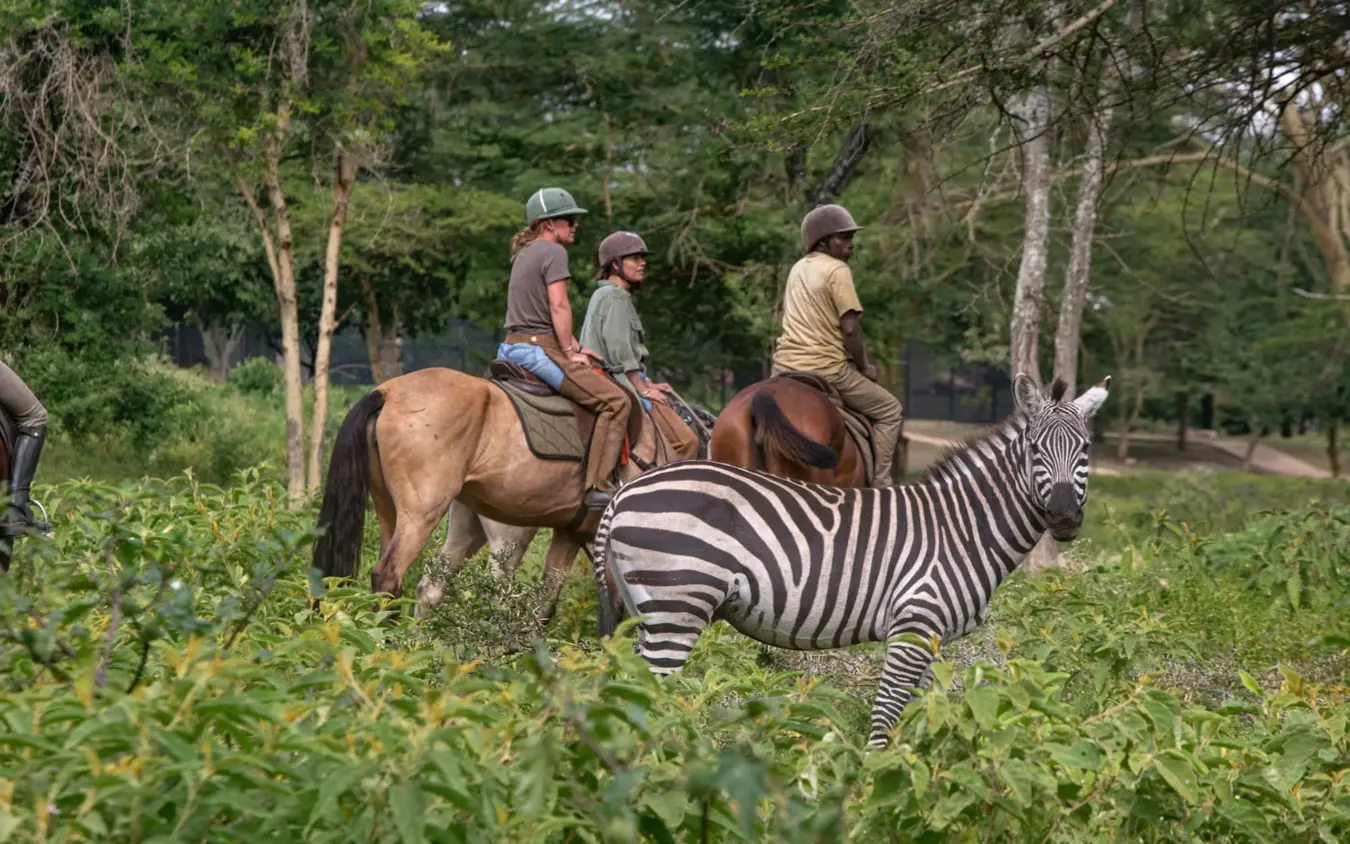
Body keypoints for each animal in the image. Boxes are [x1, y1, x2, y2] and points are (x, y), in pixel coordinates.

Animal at [592, 374, 1111, 747]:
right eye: (1035, 449)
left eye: (1085, 449)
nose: (1064, 518)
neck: (962, 526)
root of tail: (622, 494)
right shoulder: (914, 623)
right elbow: (887, 715)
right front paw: (869, 786)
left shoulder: (933, 635)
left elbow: (920, 715)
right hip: (678, 606)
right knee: (649, 701)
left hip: (644, 610)